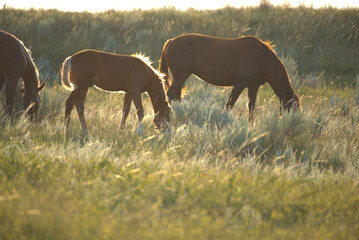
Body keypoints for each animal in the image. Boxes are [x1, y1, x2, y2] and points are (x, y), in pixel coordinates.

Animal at [160, 33, 300, 120]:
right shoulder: (239, 84)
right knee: (171, 96)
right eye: (293, 108)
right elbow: (229, 105)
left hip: (181, 79)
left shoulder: (253, 87)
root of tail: (170, 42)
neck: (262, 59)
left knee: (175, 97)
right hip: (180, 77)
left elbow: (251, 108)